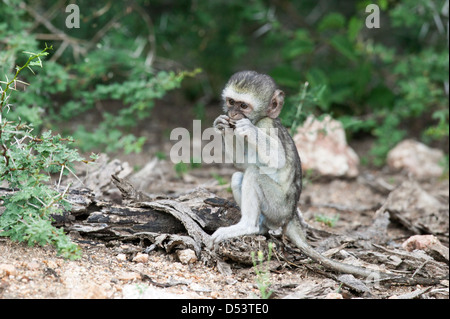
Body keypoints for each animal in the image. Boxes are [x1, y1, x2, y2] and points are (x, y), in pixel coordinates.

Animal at [213, 70, 388, 280]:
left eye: (243, 106)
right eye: (231, 102)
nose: (232, 114)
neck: (260, 118)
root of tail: (291, 215)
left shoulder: (265, 125)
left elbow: (276, 159)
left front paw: (248, 129)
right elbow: (242, 163)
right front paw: (222, 125)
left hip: (278, 208)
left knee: (254, 174)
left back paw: (248, 226)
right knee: (239, 176)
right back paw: (259, 228)